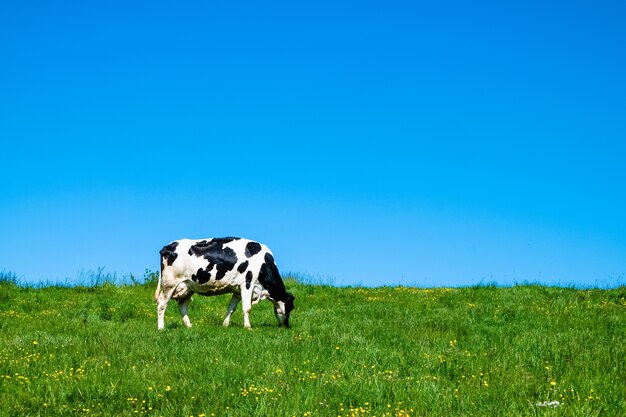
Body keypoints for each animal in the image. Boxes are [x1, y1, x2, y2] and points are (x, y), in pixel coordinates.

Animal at [155, 237, 294, 328]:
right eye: (291, 307)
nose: (287, 326)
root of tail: (167, 247)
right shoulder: (247, 283)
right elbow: (247, 308)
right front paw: (248, 327)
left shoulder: (237, 290)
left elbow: (231, 308)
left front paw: (225, 324)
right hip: (170, 284)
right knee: (162, 304)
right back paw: (161, 328)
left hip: (187, 286)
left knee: (182, 306)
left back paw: (189, 326)